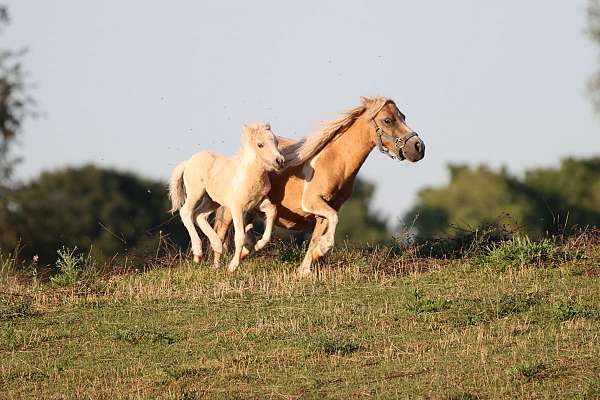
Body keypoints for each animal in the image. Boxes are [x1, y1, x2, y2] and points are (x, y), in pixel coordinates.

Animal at [166, 122, 284, 272]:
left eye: (276, 142)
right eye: (260, 144)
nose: (280, 161)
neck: (250, 175)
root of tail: (187, 162)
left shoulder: (258, 203)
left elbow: (272, 210)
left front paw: (259, 245)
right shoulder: (237, 208)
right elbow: (239, 236)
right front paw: (233, 266)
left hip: (212, 200)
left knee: (199, 215)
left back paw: (216, 247)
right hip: (195, 192)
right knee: (186, 212)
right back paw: (198, 252)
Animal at [213, 97, 424, 276]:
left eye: (403, 116)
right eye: (388, 120)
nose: (418, 147)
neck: (334, 161)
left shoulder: (325, 210)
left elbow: (317, 236)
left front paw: (305, 268)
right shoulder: (313, 202)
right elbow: (332, 224)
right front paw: (320, 251)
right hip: (232, 209)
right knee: (221, 233)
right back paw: (220, 265)